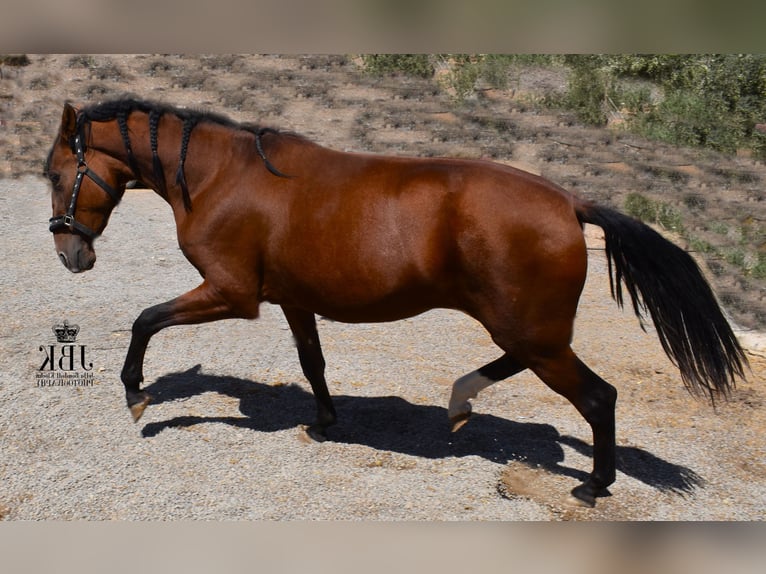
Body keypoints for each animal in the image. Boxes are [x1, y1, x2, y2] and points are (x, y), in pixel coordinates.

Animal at [45, 99, 748, 508]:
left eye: (53, 174)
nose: (69, 254)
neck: (221, 177)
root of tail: (570, 202)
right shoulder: (292, 300)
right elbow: (312, 362)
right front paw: (325, 421)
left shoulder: (232, 295)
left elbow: (145, 320)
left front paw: (137, 396)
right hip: (526, 327)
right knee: (522, 366)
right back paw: (461, 402)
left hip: (531, 330)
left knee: (598, 396)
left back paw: (593, 483)